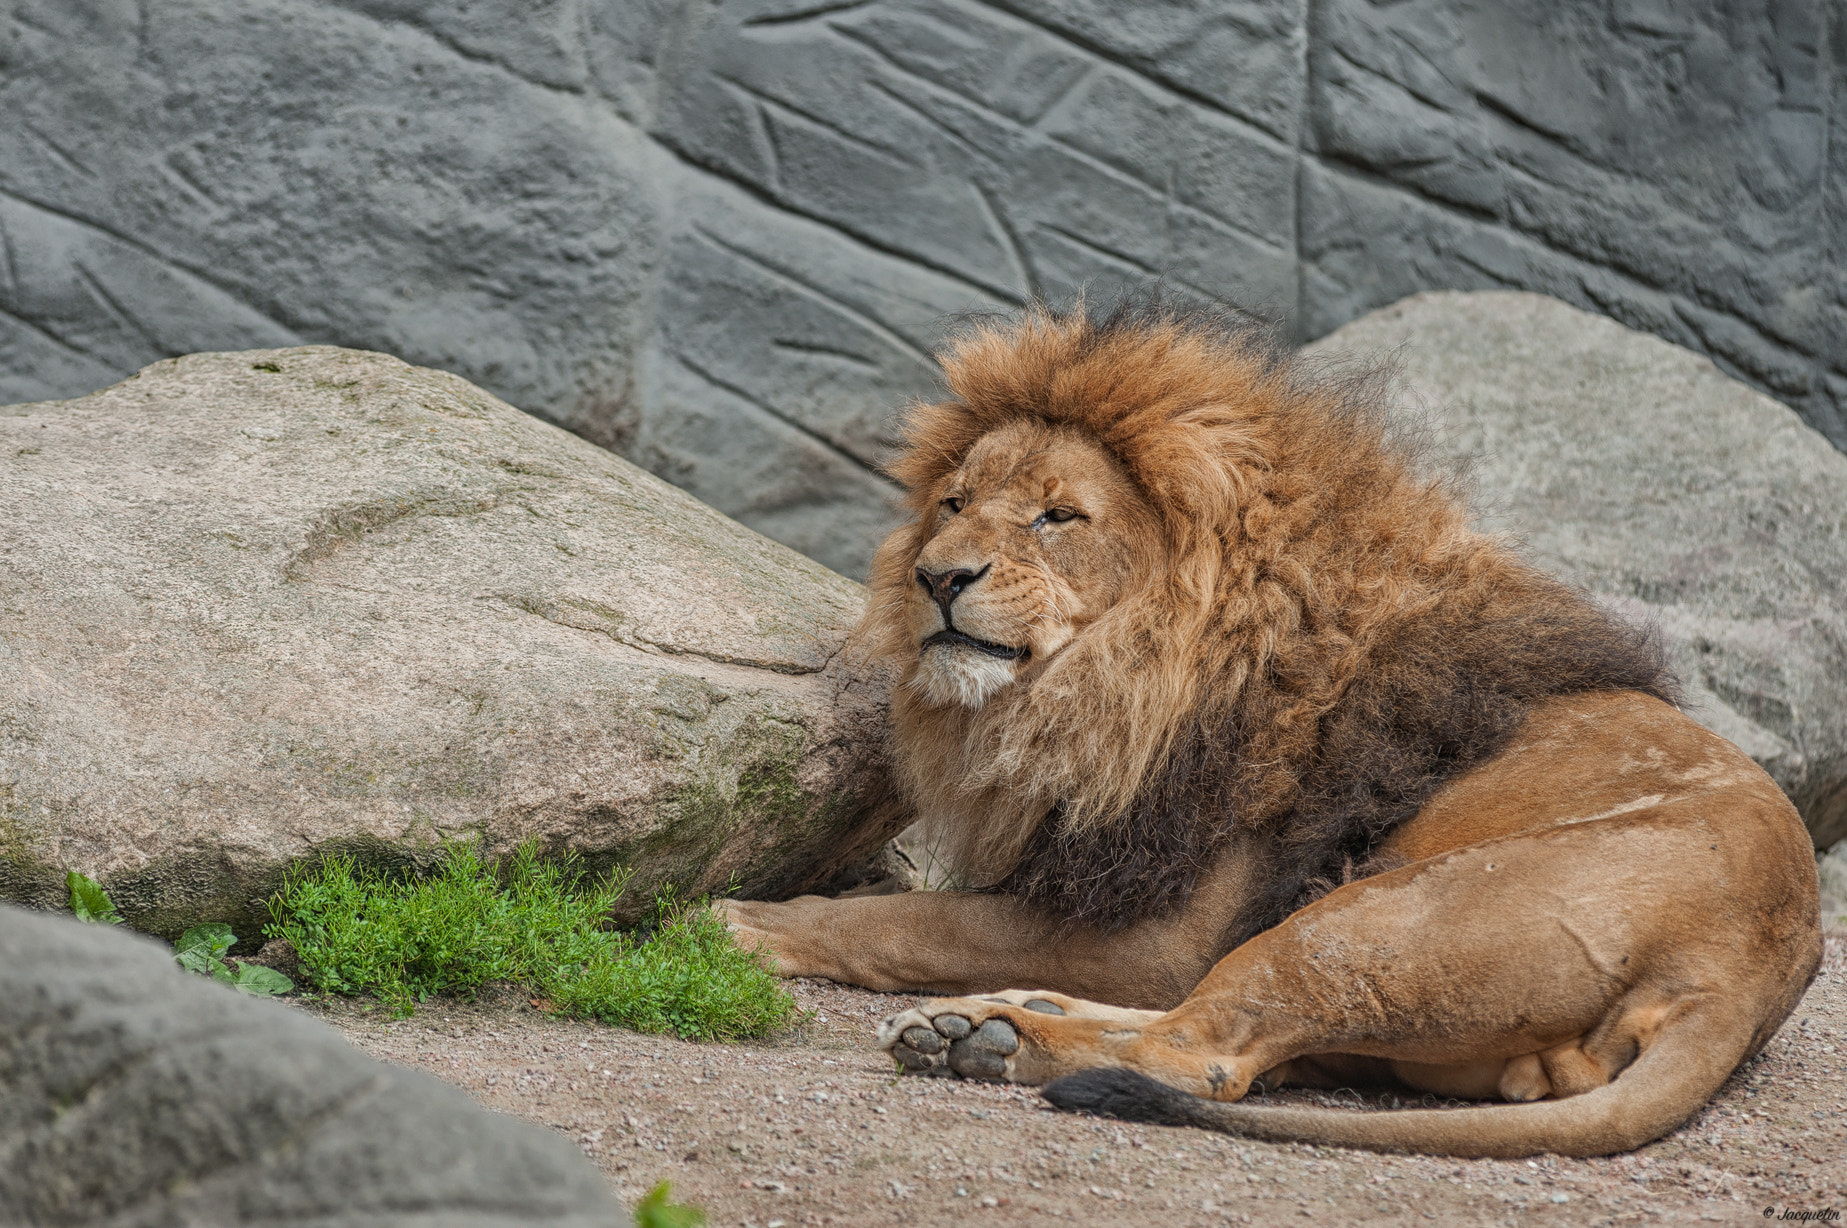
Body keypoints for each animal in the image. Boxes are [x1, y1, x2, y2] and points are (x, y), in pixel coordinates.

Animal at [722, 296, 1822, 1157]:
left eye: (1055, 517)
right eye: (952, 501)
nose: (935, 577)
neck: (1113, 685)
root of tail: (1740, 975)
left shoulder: (1165, 928)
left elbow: (916, 920)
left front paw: (751, 923)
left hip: (1371, 919)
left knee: (1197, 1056)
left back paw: (988, 1036)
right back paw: (997, 1019)